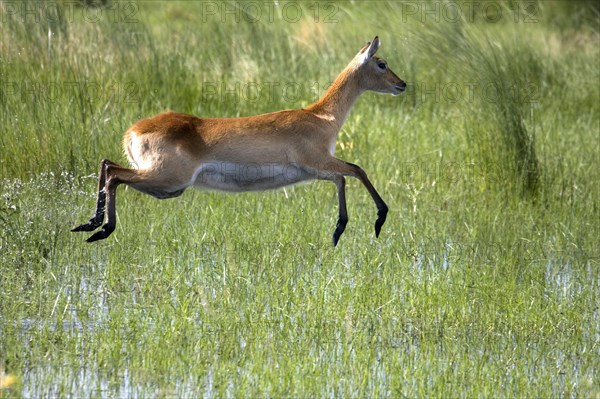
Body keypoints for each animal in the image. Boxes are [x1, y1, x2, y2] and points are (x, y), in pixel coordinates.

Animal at [72, 36, 406, 245]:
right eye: (382, 63)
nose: (402, 84)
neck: (322, 116)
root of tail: (133, 130)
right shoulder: (318, 161)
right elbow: (355, 170)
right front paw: (374, 221)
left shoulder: (314, 169)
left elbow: (344, 177)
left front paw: (340, 230)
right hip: (168, 180)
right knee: (114, 174)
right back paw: (102, 230)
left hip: (165, 184)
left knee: (106, 164)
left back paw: (89, 224)